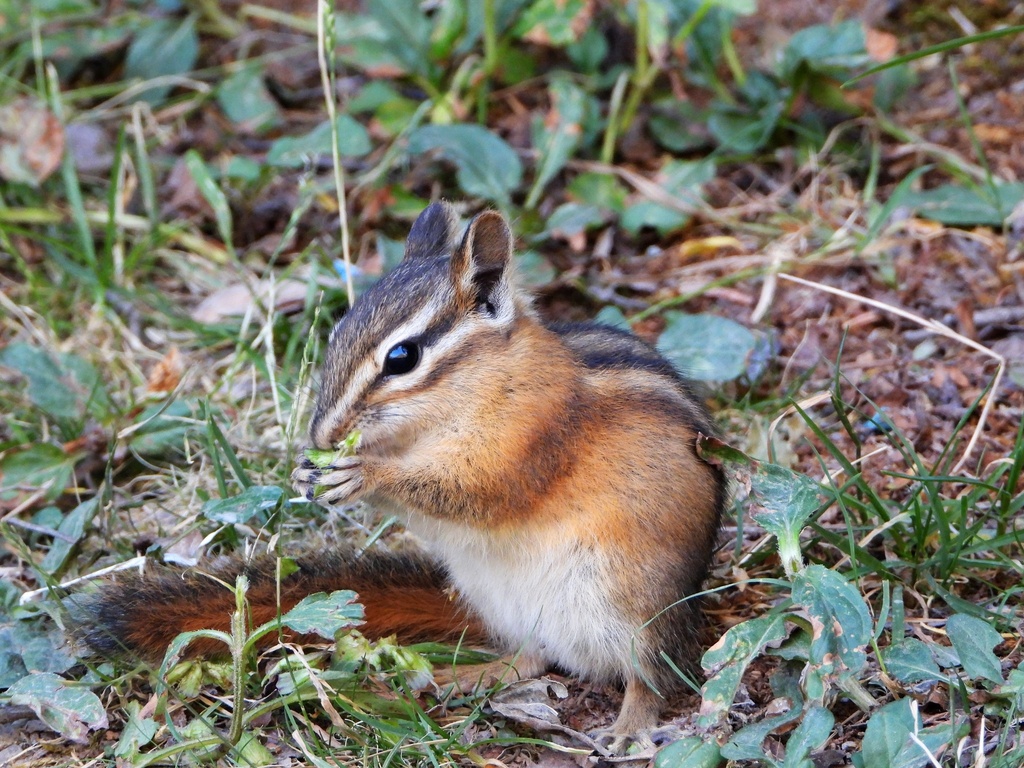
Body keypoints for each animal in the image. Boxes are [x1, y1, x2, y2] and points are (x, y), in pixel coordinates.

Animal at [75, 201, 726, 750]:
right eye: (336, 334)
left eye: (402, 357)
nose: (323, 436)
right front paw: (310, 470)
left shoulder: (524, 444)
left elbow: (473, 491)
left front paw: (364, 475)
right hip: (507, 601)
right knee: (535, 660)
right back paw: (454, 676)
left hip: (632, 601)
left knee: (654, 675)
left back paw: (629, 725)